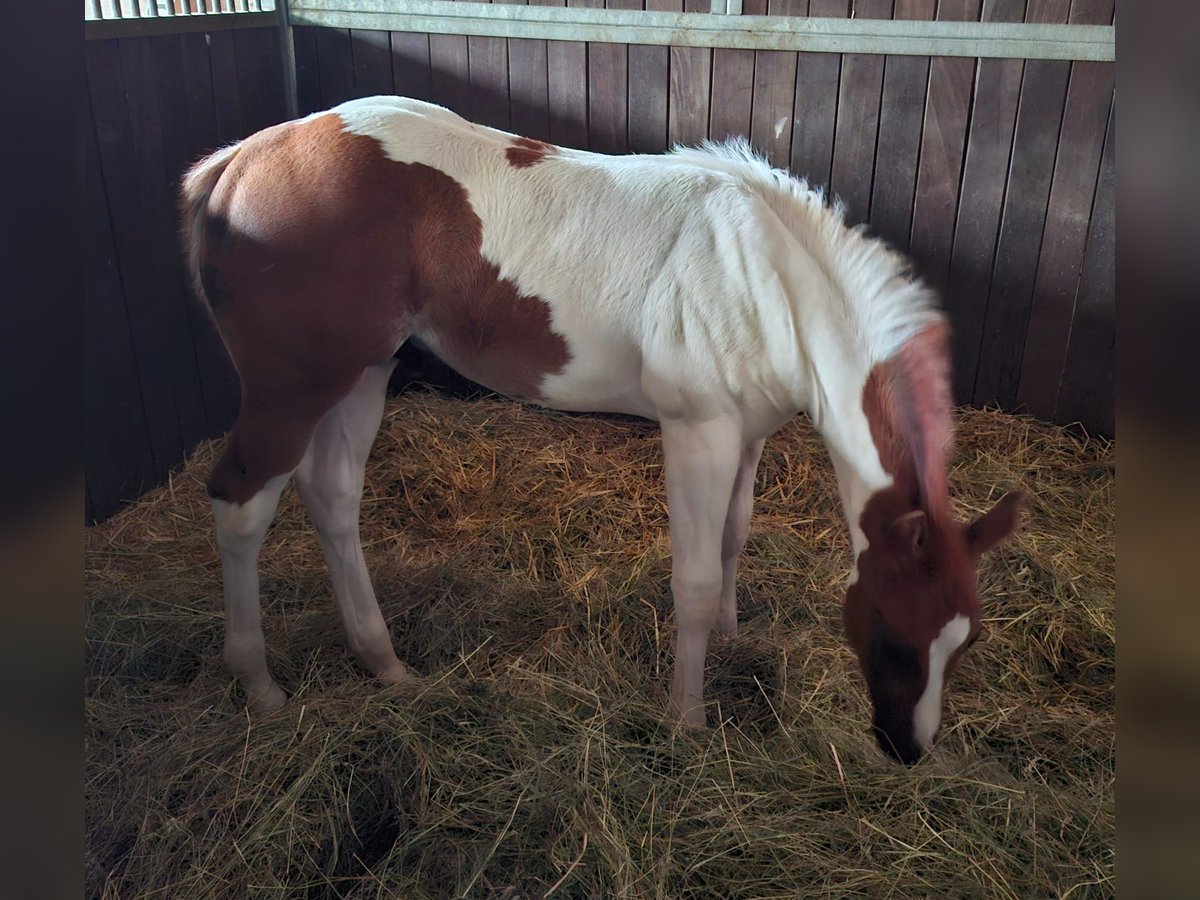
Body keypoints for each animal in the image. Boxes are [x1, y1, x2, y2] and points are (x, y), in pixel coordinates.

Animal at [180, 97, 1022, 763]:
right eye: (894, 636)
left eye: (969, 641)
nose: (908, 749)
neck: (765, 277)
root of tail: (236, 164)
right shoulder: (698, 432)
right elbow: (693, 577)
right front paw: (686, 716)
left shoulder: (748, 434)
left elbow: (735, 535)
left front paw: (730, 634)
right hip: (293, 389)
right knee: (242, 505)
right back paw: (258, 682)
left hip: (364, 371)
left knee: (332, 496)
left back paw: (384, 663)